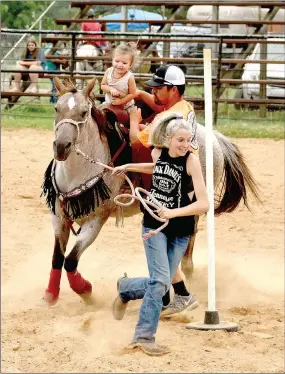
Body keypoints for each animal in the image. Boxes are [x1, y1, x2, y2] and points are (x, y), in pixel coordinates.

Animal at [41, 76, 258, 306]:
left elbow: (71, 260)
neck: (79, 172)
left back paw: (186, 272)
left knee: (189, 235)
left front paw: (86, 291)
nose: (61, 146)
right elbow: (57, 257)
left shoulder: (96, 220)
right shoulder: (59, 217)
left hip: (194, 202)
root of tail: (212, 136)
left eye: (83, 112)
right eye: (56, 108)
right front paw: (50, 295)